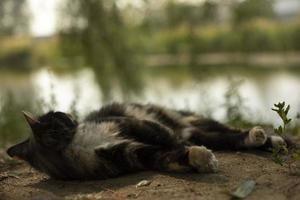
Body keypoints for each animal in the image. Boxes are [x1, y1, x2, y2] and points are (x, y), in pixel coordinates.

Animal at [5, 103, 290, 180]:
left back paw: (268, 138)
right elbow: (167, 156)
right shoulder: (131, 154)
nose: (74, 119)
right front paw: (198, 158)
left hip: (192, 121)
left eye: (62, 114)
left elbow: (160, 134)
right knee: (226, 139)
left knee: (230, 131)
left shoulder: (124, 123)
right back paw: (267, 141)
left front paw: (179, 145)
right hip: (201, 132)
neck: (76, 144)